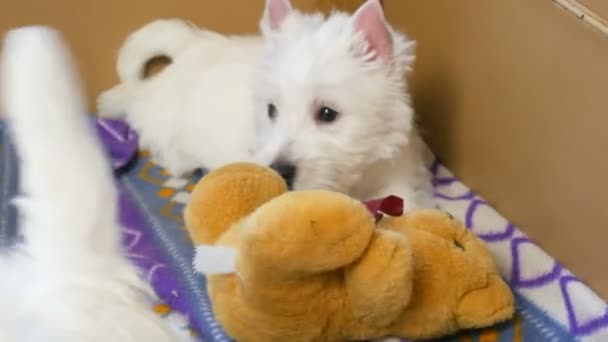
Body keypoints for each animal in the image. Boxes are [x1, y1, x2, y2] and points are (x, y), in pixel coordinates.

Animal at [97, 0, 434, 208]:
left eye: (327, 114)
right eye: (272, 110)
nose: (280, 171)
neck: (353, 180)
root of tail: (191, 44)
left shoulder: (398, 172)